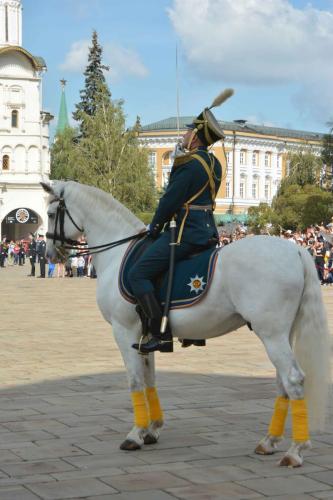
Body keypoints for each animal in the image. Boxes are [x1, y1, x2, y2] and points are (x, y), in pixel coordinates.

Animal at [42, 182, 330, 466]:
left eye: (51, 214)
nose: (50, 254)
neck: (118, 253)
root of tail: (295, 249)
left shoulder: (124, 331)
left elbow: (135, 381)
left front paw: (135, 434)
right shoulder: (145, 337)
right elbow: (149, 380)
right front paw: (152, 429)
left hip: (271, 334)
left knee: (293, 379)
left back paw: (295, 450)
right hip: (283, 333)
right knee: (283, 382)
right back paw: (269, 442)